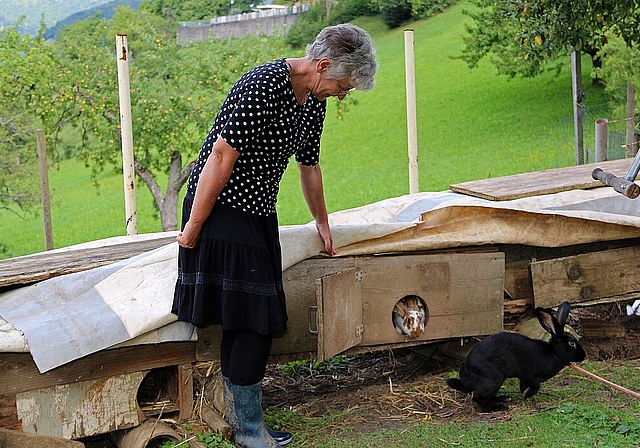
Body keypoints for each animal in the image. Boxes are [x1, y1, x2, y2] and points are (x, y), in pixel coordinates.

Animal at [444, 300, 584, 412]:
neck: (553, 352)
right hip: (494, 377)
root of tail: (466, 379)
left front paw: (524, 393)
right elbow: (535, 386)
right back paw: (497, 408)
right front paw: (526, 395)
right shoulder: (528, 374)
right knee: (478, 397)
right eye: (572, 343)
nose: (583, 355)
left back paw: (502, 398)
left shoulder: (525, 378)